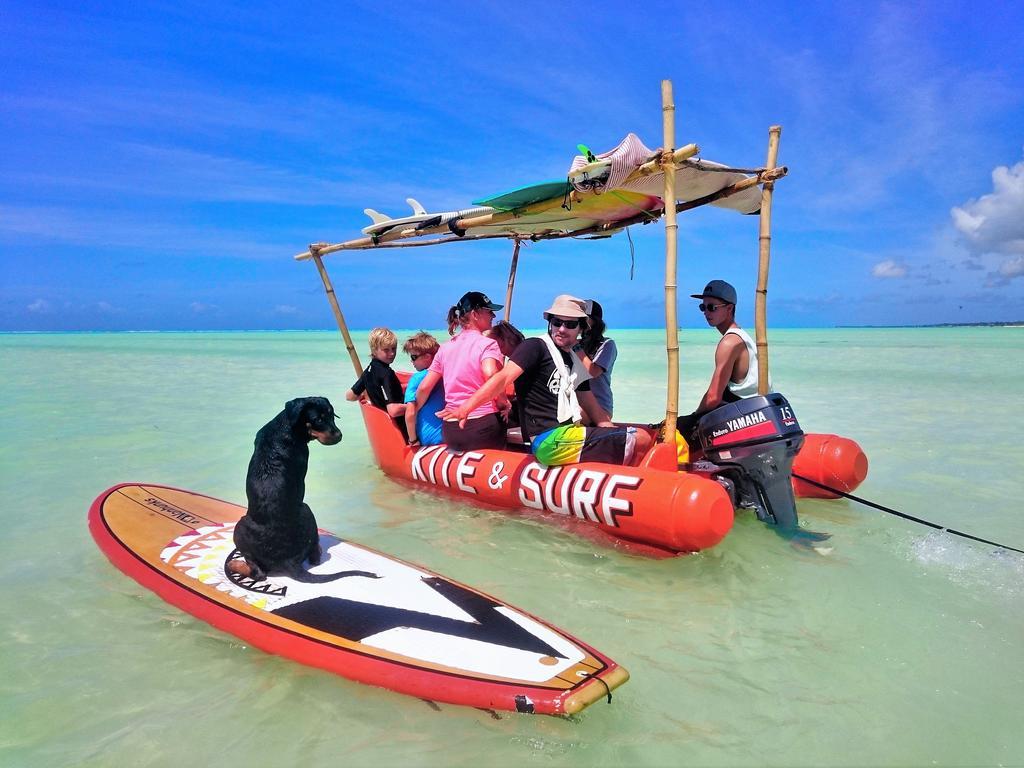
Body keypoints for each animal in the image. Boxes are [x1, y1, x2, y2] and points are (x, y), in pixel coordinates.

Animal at [228, 397, 376, 581]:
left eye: (332, 415)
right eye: (318, 419)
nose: (339, 435)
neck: (288, 427)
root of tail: (287, 561)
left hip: (246, 524)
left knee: (260, 572)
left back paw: (234, 564)